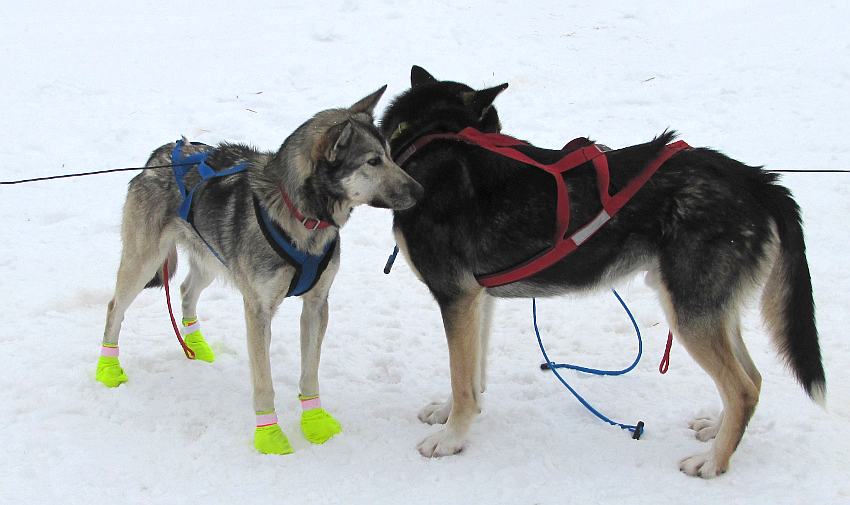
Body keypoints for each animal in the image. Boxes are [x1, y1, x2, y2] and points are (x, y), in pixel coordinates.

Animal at [97, 85, 422, 452]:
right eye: (373, 161)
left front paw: (315, 423)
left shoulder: (316, 305)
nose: (421, 190)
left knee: (185, 290)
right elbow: (264, 382)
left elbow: (310, 374)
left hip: (210, 259)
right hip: (143, 263)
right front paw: (270, 435)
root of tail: (162, 153)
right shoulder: (258, 310)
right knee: (115, 307)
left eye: (390, 155)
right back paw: (108, 367)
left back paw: (197, 345)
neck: (302, 218)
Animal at [380, 66, 824, 476]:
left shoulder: (455, 297)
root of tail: (754, 178)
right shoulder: (476, 299)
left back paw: (713, 463)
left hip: (689, 311)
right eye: (495, 130)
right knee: (754, 379)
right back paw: (717, 432)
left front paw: (450, 439)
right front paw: (450, 414)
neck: (426, 141)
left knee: (743, 389)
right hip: (710, 309)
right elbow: (471, 375)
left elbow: (461, 377)